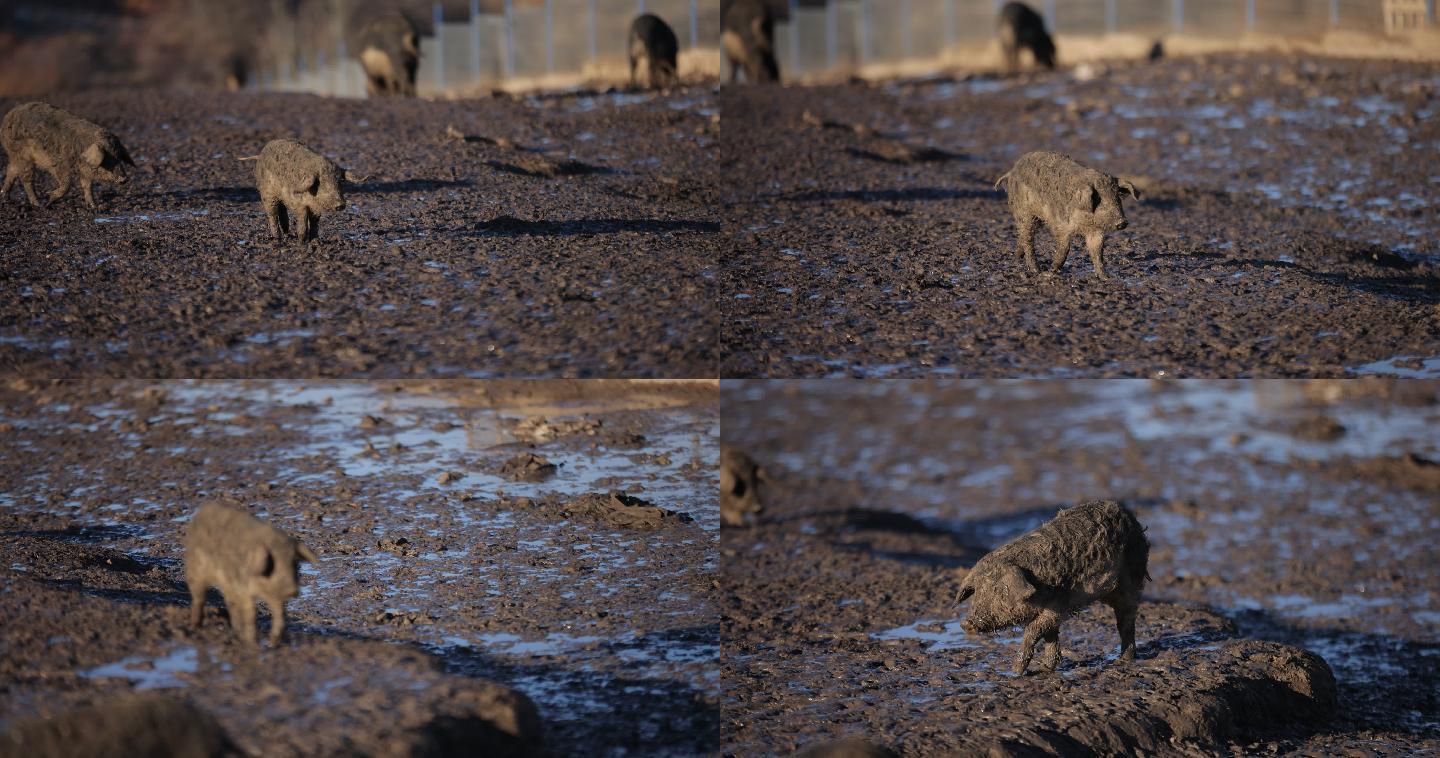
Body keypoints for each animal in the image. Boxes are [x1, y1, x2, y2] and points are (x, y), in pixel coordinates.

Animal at [0, 100, 133, 208]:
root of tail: (7, 117)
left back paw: (5, 198)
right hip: (23, 156)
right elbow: (67, 185)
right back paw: (38, 204)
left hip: (15, 157)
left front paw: (94, 207)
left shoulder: (85, 171)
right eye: (106, 158)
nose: (124, 179)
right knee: (26, 179)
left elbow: (87, 186)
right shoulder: (59, 165)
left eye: (118, 156)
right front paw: (49, 200)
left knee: (11, 170)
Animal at [185, 504, 318, 648]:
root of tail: (204, 509)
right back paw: (194, 627)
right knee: (199, 597)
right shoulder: (243, 589)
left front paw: (272, 644)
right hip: (195, 571)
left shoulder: (275, 596)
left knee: (230, 603)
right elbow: (251, 613)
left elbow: (280, 615)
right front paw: (253, 644)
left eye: (294, 563)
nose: (292, 590)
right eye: (272, 564)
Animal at [956, 501, 1146, 674]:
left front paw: (1016, 671)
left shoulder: (1058, 605)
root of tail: (1128, 513)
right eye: (978, 592)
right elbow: (1050, 635)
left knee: (1126, 619)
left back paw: (1123, 660)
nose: (966, 623)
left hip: (1131, 579)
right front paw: (1046, 668)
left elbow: (1033, 630)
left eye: (998, 590)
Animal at [990, 149, 1134, 279]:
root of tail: (1011, 171)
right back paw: (1037, 270)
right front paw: (1050, 273)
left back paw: (1018, 256)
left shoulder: (1095, 231)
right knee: (1028, 239)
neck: (1084, 222)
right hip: (1025, 213)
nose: (1123, 222)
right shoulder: (1061, 225)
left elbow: (1097, 252)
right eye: (1102, 202)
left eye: (1117, 199)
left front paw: (1106, 277)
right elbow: (1064, 249)